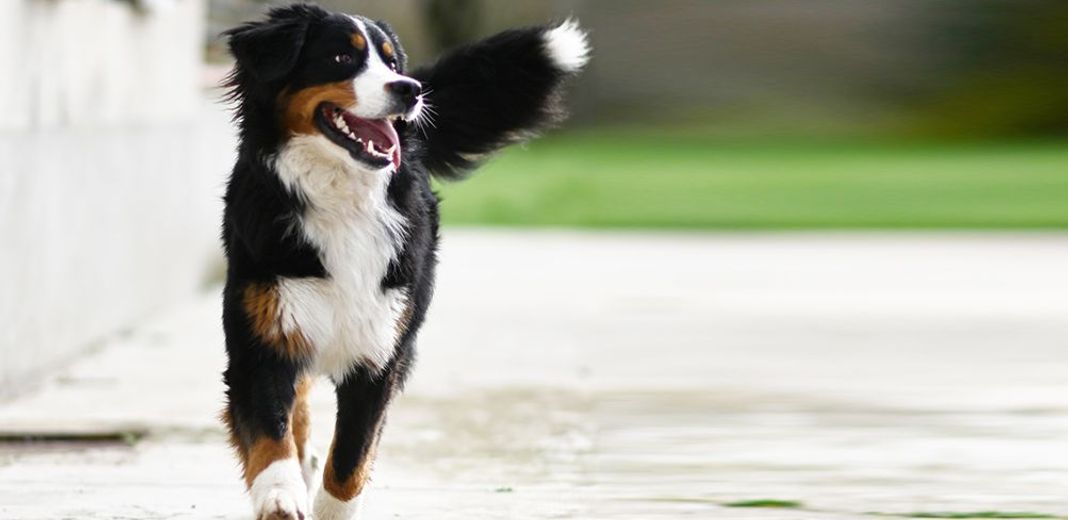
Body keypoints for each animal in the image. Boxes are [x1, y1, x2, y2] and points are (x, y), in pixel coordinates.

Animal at [215, 5, 585, 520]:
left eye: (391, 62)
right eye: (340, 56)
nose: (409, 89)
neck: (342, 200)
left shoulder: (381, 351)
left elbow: (351, 460)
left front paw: (327, 506)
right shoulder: (264, 337)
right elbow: (272, 434)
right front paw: (281, 496)